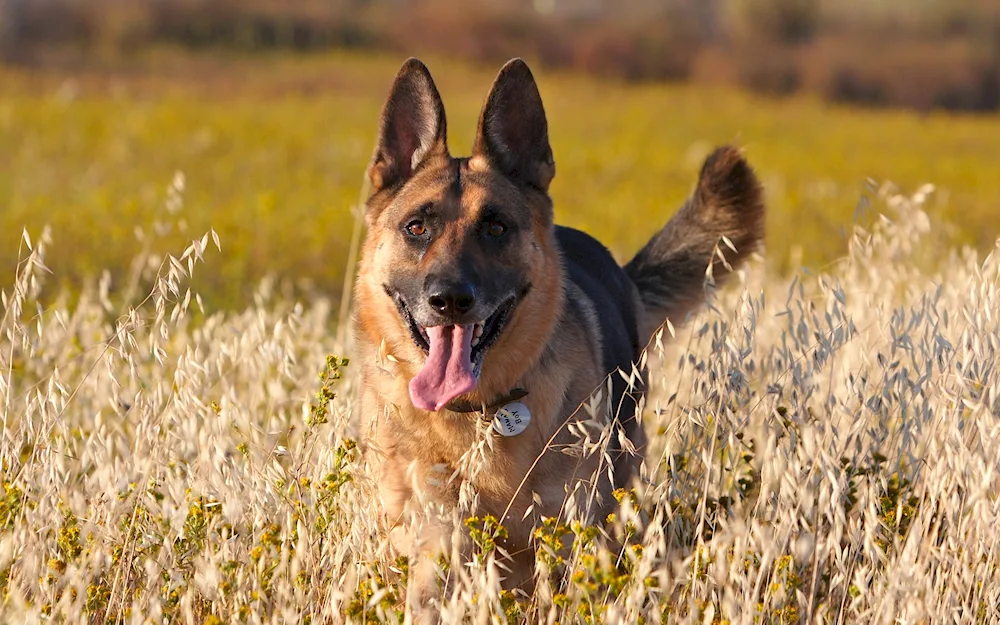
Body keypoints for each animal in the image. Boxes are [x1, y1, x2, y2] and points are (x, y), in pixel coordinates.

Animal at [354, 57, 764, 608]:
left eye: (496, 228)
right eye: (417, 227)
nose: (450, 299)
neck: (481, 414)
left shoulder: (569, 535)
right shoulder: (437, 537)